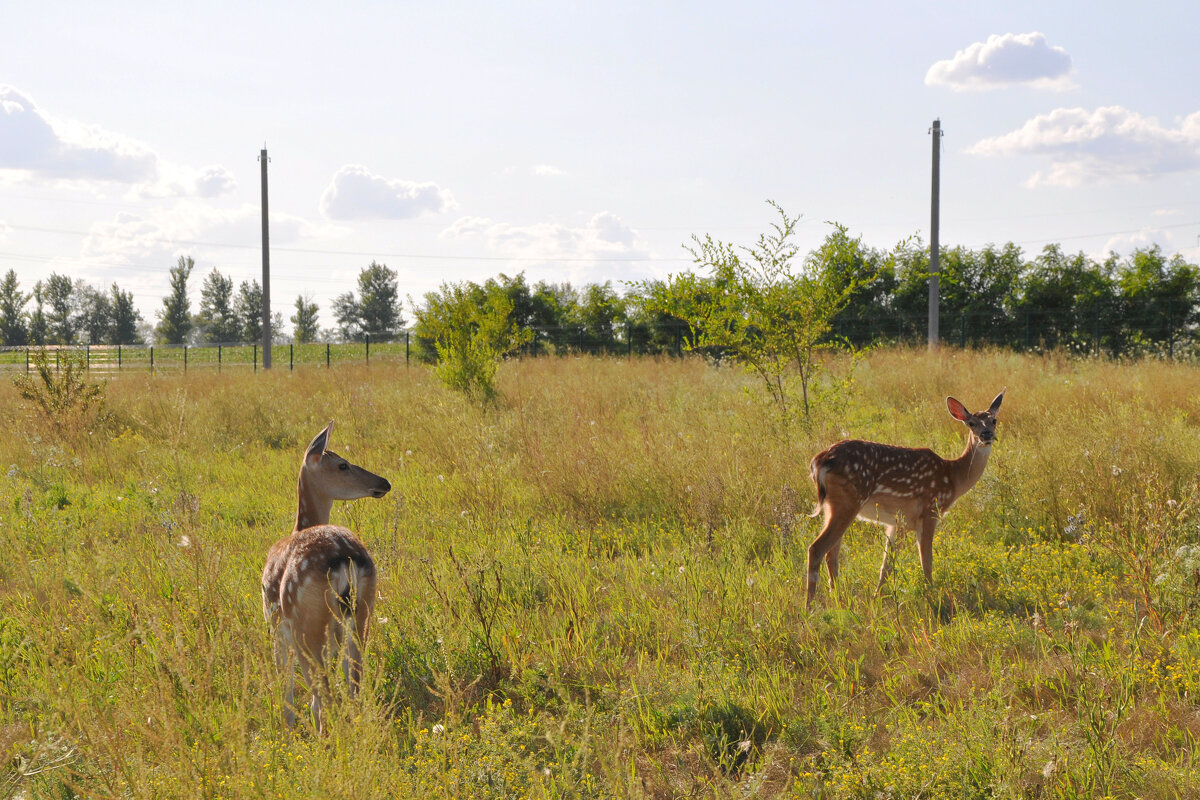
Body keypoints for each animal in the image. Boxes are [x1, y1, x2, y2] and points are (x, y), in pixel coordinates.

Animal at [264, 424, 391, 734]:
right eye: (343, 464)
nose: (384, 483)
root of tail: (344, 558)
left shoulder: (274, 623)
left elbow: (284, 686)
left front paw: (286, 731)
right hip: (362, 611)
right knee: (354, 685)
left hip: (306, 623)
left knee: (323, 697)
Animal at [806, 391, 1003, 609]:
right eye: (971, 423)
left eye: (994, 420)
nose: (986, 435)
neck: (953, 478)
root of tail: (820, 461)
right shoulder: (930, 510)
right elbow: (926, 560)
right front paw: (932, 596)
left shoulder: (898, 522)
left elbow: (887, 564)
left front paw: (877, 597)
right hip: (848, 501)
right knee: (817, 548)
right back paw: (810, 607)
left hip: (832, 506)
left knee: (831, 553)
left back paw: (839, 598)